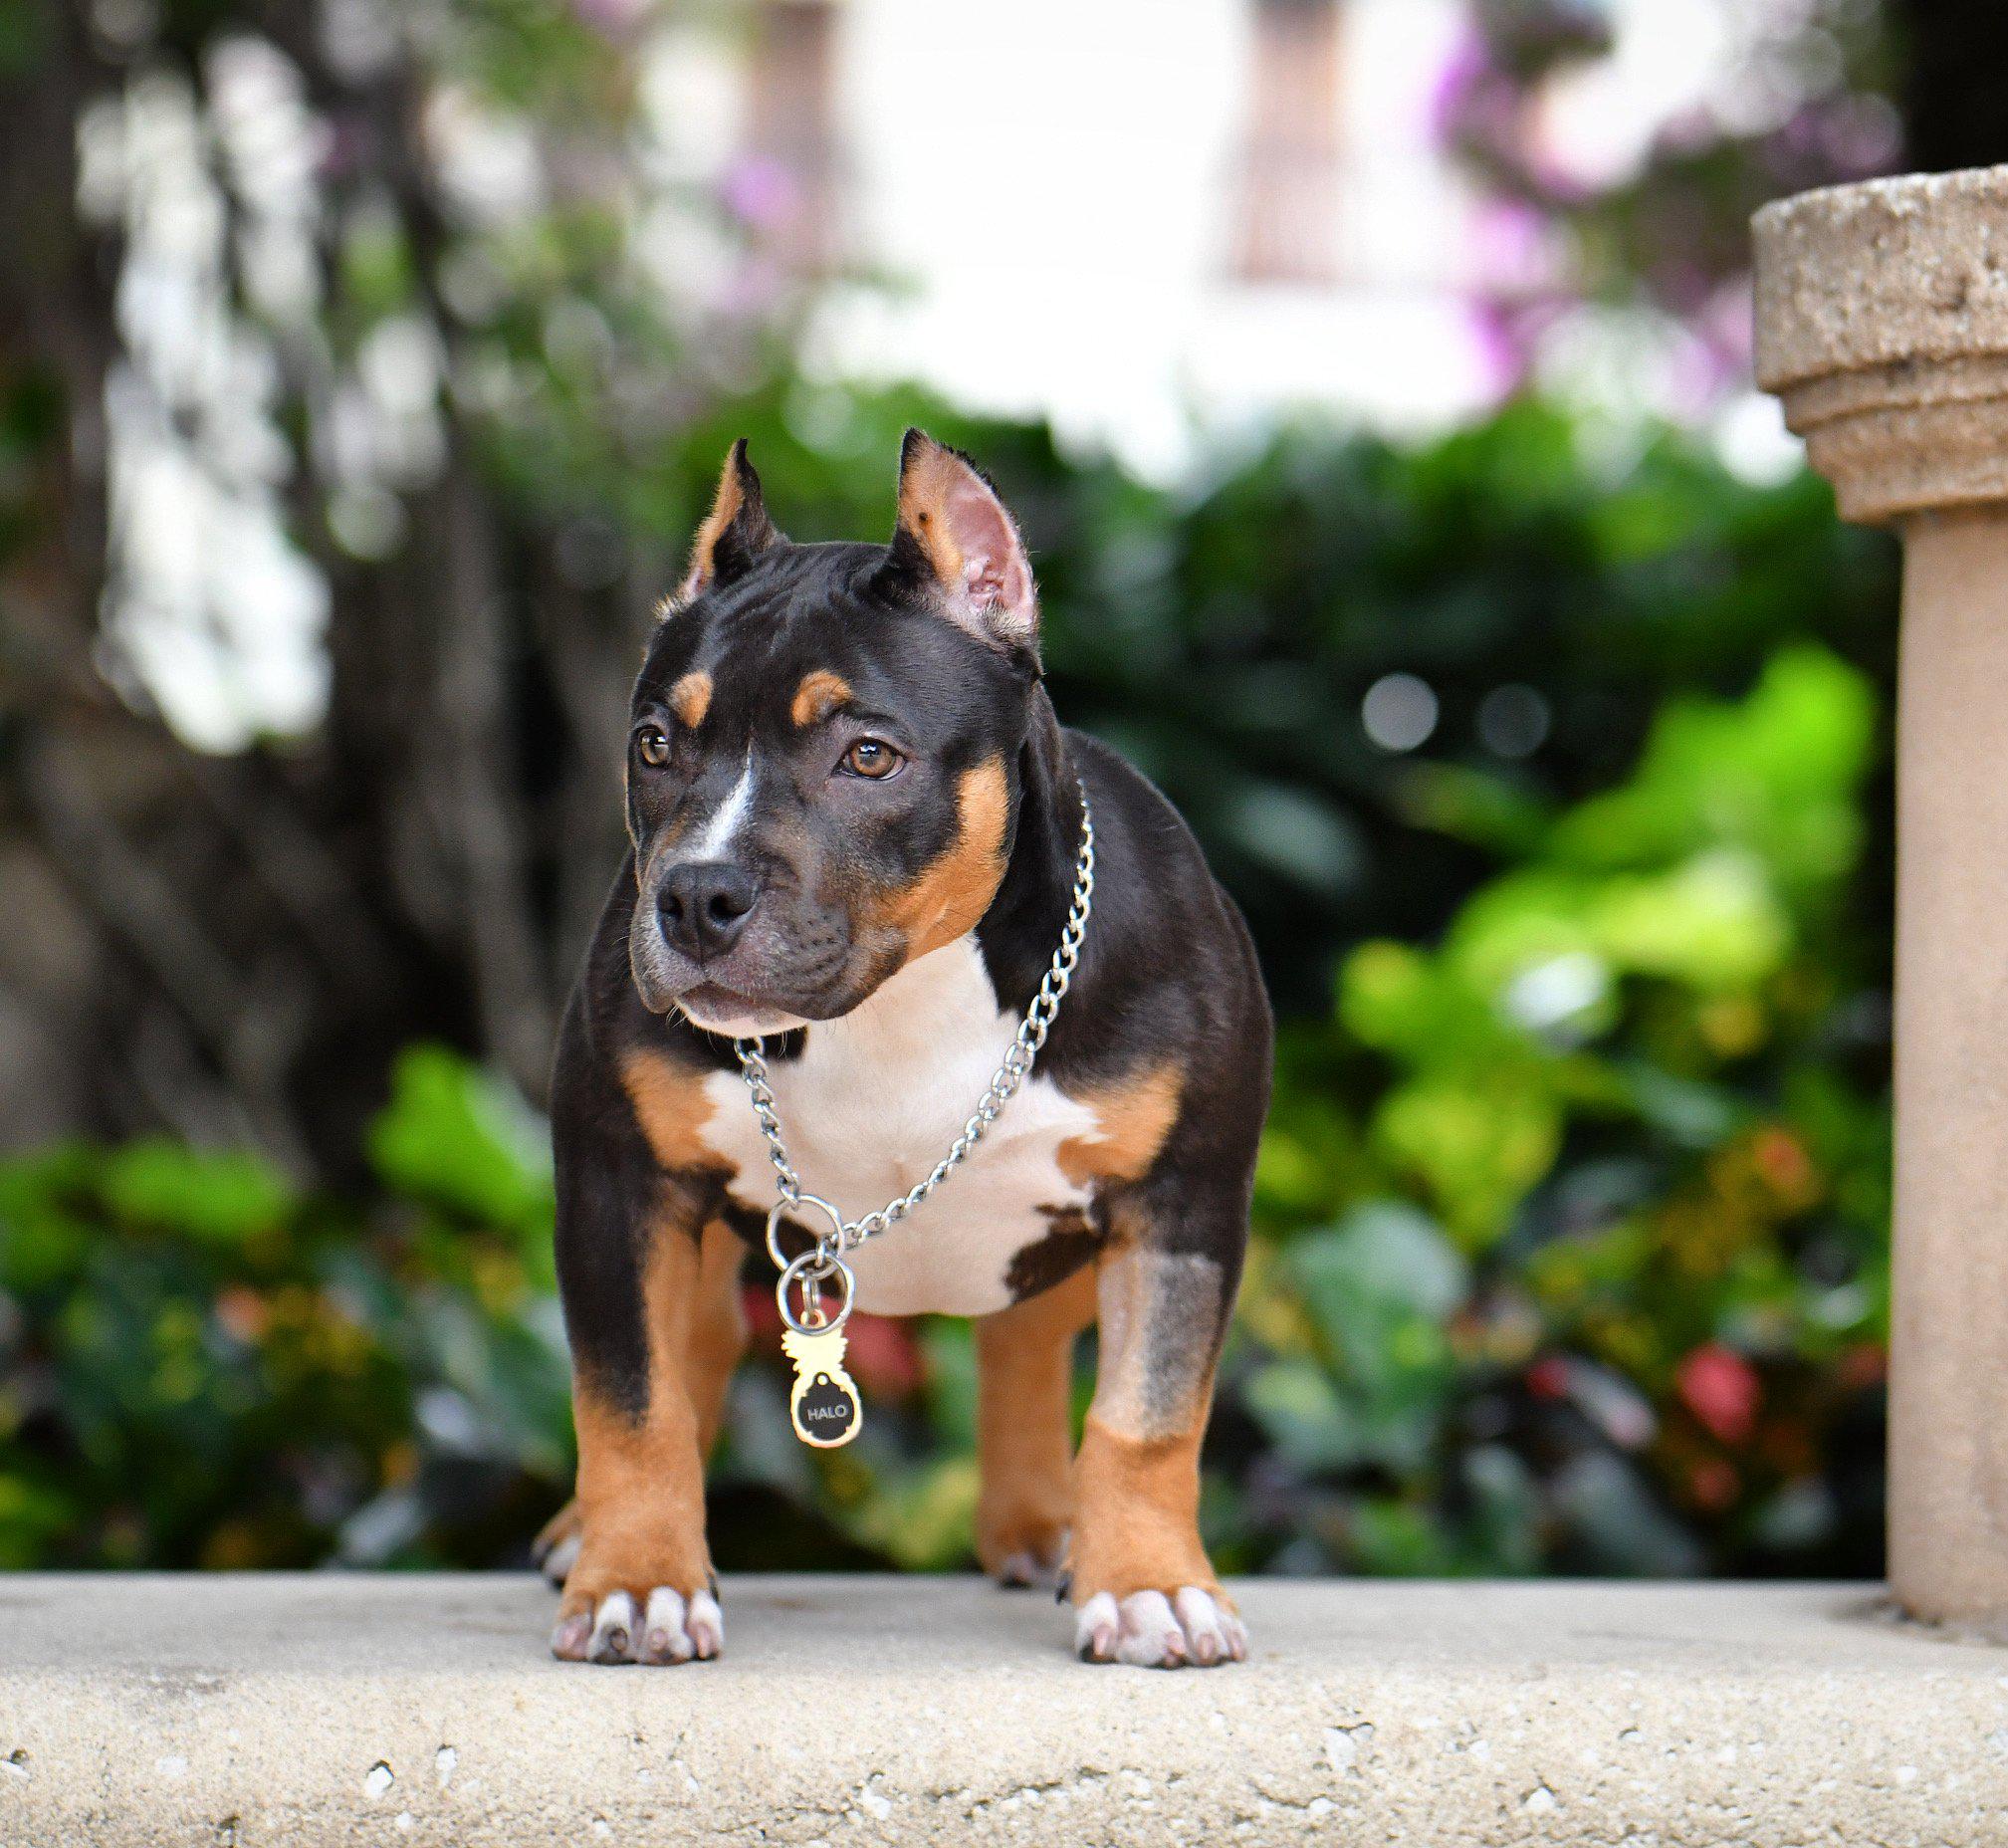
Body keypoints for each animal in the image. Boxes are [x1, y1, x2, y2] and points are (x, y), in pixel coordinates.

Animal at [538, 435, 1268, 1671]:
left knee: (1030, 1343)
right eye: (655, 747)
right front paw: (637, 1579)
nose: (693, 893)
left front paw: (1148, 1585)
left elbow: (1147, 1413)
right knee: (697, 1350)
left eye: (868, 755)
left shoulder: (1178, 1206)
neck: (898, 1003)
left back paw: (1048, 1524)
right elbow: (633, 1398)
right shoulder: (617, 1184)